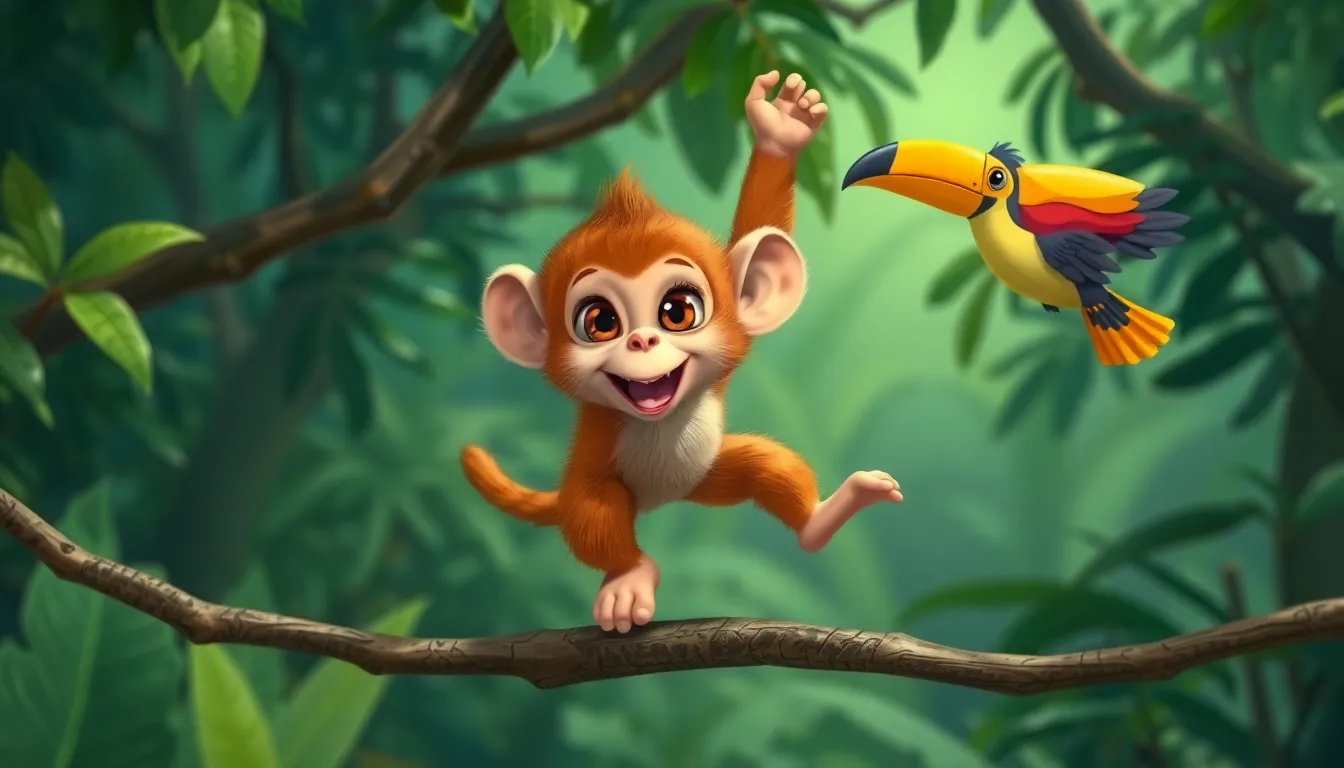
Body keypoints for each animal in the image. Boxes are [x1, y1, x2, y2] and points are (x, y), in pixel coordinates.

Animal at [461, 71, 904, 634]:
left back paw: (819, 521)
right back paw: (630, 574)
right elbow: (591, 517)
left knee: (767, 465)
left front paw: (780, 131)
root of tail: (663, 498)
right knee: (595, 514)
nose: (643, 340)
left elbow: (758, 222)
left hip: (710, 473)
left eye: (678, 311)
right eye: (600, 322)